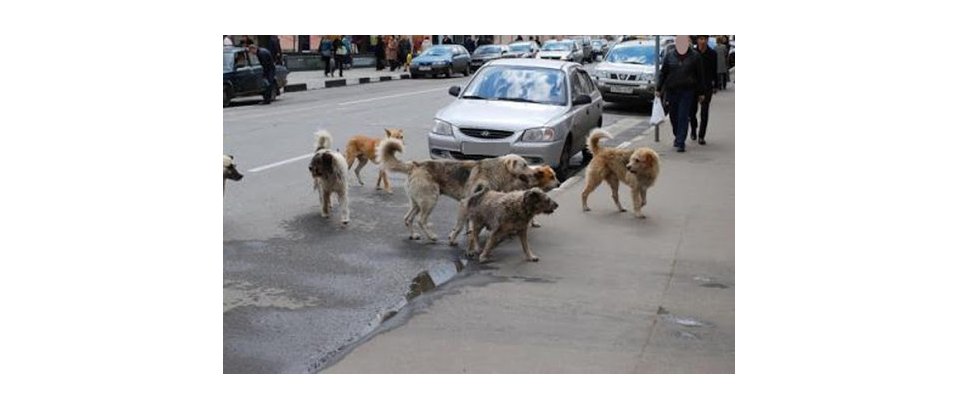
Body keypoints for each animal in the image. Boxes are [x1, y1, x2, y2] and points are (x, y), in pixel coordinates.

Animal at [378, 139, 536, 242]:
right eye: (525, 165)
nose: (535, 173)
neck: (495, 171)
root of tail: (415, 165)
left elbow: (463, 223)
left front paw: (460, 234)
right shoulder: (465, 202)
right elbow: (460, 226)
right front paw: (453, 239)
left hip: (417, 203)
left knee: (407, 218)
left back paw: (413, 235)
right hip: (430, 201)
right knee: (420, 220)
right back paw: (431, 236)